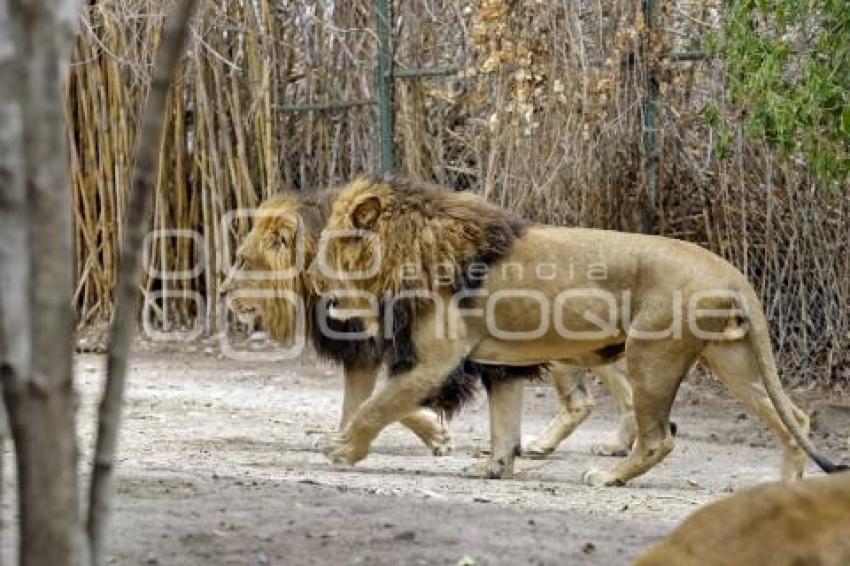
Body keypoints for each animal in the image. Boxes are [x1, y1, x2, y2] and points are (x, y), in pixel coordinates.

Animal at [222, 191, 640, 470]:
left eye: (242, 260)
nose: (223, 292)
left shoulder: (384, 346)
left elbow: (380, 401)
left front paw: (433, 436)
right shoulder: (367, 352)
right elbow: (362, 403)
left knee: (603, 396)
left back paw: (610, 444)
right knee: (598, 396)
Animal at [310, 175, 840, 486]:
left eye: (327, 249)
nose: (314, 283)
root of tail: (732, 274)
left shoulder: (433, 362)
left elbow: (378, 406)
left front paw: (343, 449)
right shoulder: (499, 366)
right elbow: (503, 425)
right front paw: (494, 467)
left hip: (652, 357)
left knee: (659, 438)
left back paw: (609, 476)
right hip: (730, 359)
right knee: (793, 415)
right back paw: (787, 486)